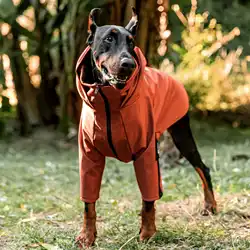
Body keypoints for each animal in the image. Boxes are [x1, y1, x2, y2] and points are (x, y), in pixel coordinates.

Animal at [74, 7, 217, 248]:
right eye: (108, 38)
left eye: (131, 42)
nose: (129, 64)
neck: (109, 102)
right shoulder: (88, 154)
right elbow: (88, 203)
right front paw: (87, 236)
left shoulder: (146, 152)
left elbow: (148, 199)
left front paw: (147, 234)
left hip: (181, 135)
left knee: (202, 168)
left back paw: (210, 206)